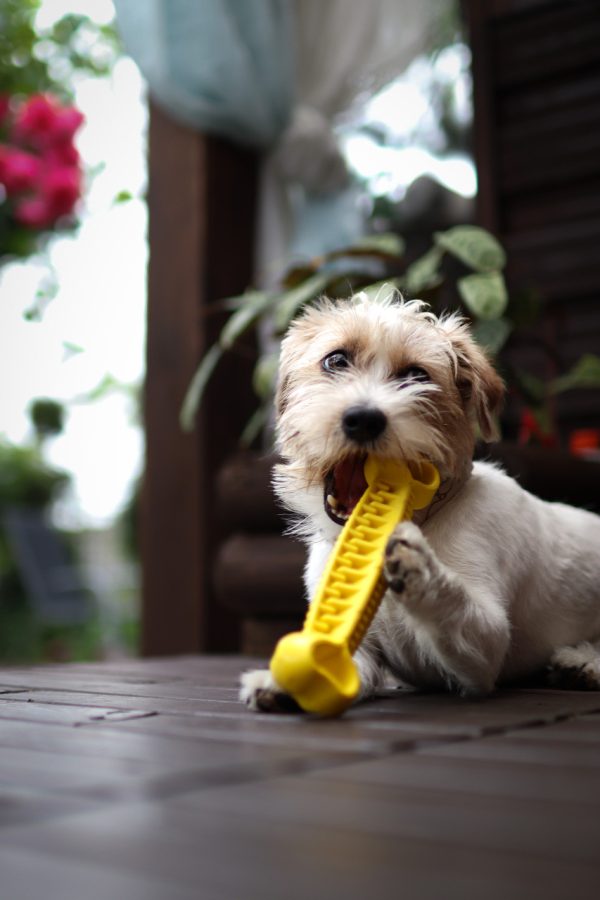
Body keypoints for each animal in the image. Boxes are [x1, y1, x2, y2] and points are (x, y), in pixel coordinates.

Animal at [239, 294, 600, 712]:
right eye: (336, 360)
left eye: (416, 375)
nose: (363, 419)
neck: (429, 516)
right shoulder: (362, 653)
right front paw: (282, 682)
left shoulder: (486, 648)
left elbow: (458, 606)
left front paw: (420, 567)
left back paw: (584, 662)